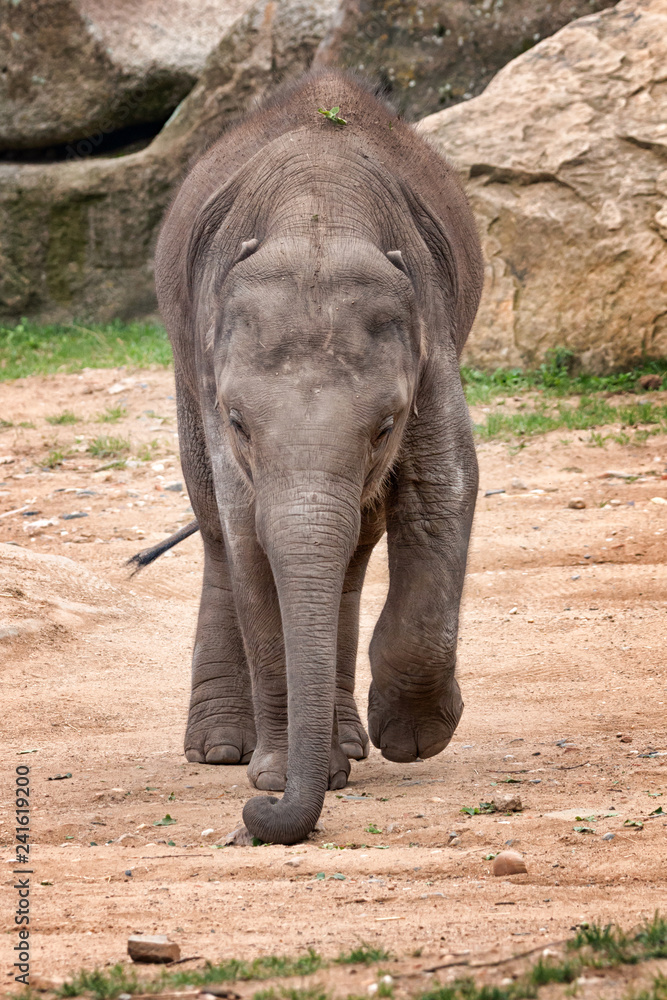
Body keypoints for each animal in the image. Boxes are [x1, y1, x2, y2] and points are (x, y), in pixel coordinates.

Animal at [147, 69, 484, 846]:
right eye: (239, 423)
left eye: (385, 425)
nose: (254, 820)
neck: (316, 221)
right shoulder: (209, 372)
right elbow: (251, 535)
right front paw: (275, 778)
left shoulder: (428, 332)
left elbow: (443, 488)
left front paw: (412, 739)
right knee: (217, 533)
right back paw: (220, 749)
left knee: (357, 546)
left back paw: (349, 743)